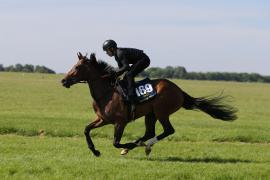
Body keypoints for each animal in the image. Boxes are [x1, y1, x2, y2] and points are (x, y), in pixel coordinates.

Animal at [60, 52, 236, 157]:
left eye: (77, 67)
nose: (63, 81)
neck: (107, 93)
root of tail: (179, 90)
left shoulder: (120, 122)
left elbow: (115, 142)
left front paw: (127, 144)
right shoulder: (103, 119)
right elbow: (86, 129)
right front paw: (95, 151)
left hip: (161, 112)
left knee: (168, 130)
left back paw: (145, 145)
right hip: (150, 114)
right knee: (150, 132)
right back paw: (138, 145)